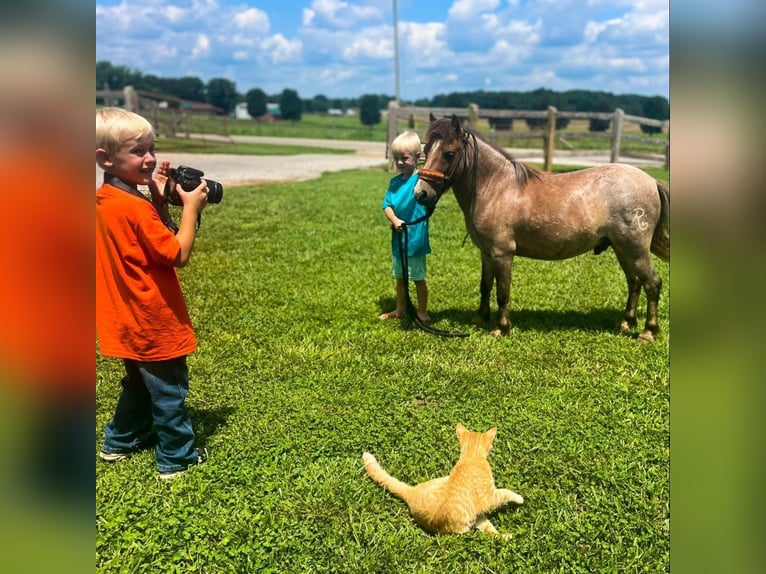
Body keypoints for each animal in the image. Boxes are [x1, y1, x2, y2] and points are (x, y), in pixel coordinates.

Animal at [364, 424, 520, 540]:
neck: (470, 457)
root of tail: (411, 493)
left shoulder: (478, 514)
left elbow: (491, 531)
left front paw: (505, 537)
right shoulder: (489, 498)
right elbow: (505, 493)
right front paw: (519, 498)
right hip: (464, 527)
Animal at [414, 115, 672, 344]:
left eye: (449, 153)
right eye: (425, 150)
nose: (421, 194)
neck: (496, 188)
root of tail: (651, 181)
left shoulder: (502, 253)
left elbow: (502, 292)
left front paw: (501, 328)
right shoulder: (486, 253)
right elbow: (485, 286)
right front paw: (480, 319)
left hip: (635, 249)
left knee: (652, 283)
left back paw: (648, 332)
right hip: (623, 249)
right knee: (634, 282)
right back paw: (625, 323)